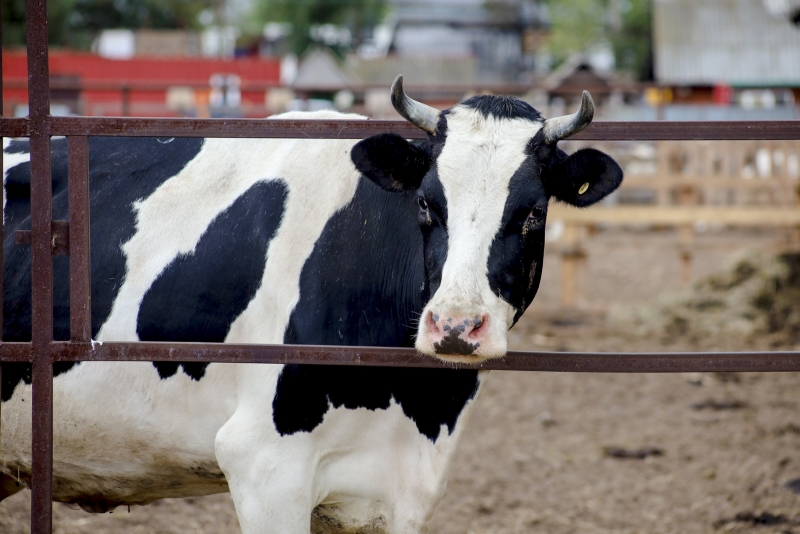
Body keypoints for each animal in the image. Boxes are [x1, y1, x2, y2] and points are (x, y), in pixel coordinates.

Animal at [0, 76, 622, 533]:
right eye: (427, 204)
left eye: (532, 213)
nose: (454, 326)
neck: (414, 400)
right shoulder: (266, 466)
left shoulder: (400, 489)